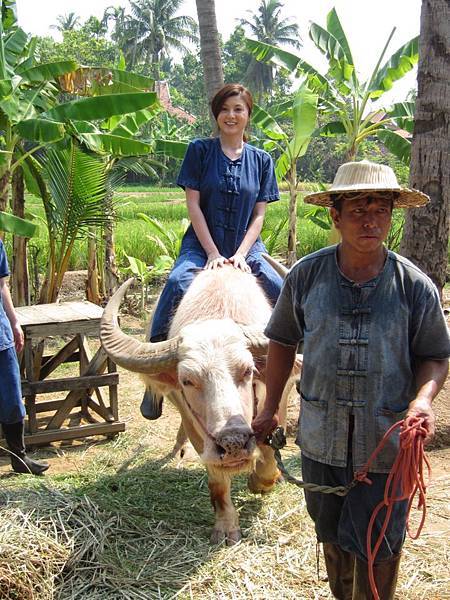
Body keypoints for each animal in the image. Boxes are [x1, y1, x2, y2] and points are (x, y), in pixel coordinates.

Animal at [101, 264, 298, 548]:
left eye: (248, 370)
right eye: (187, 380)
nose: (233, 443)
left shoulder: (277, 399)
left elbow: (269, 455)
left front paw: (260, 481)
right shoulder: (196, 426)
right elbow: (217, 480)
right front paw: (226, 527)